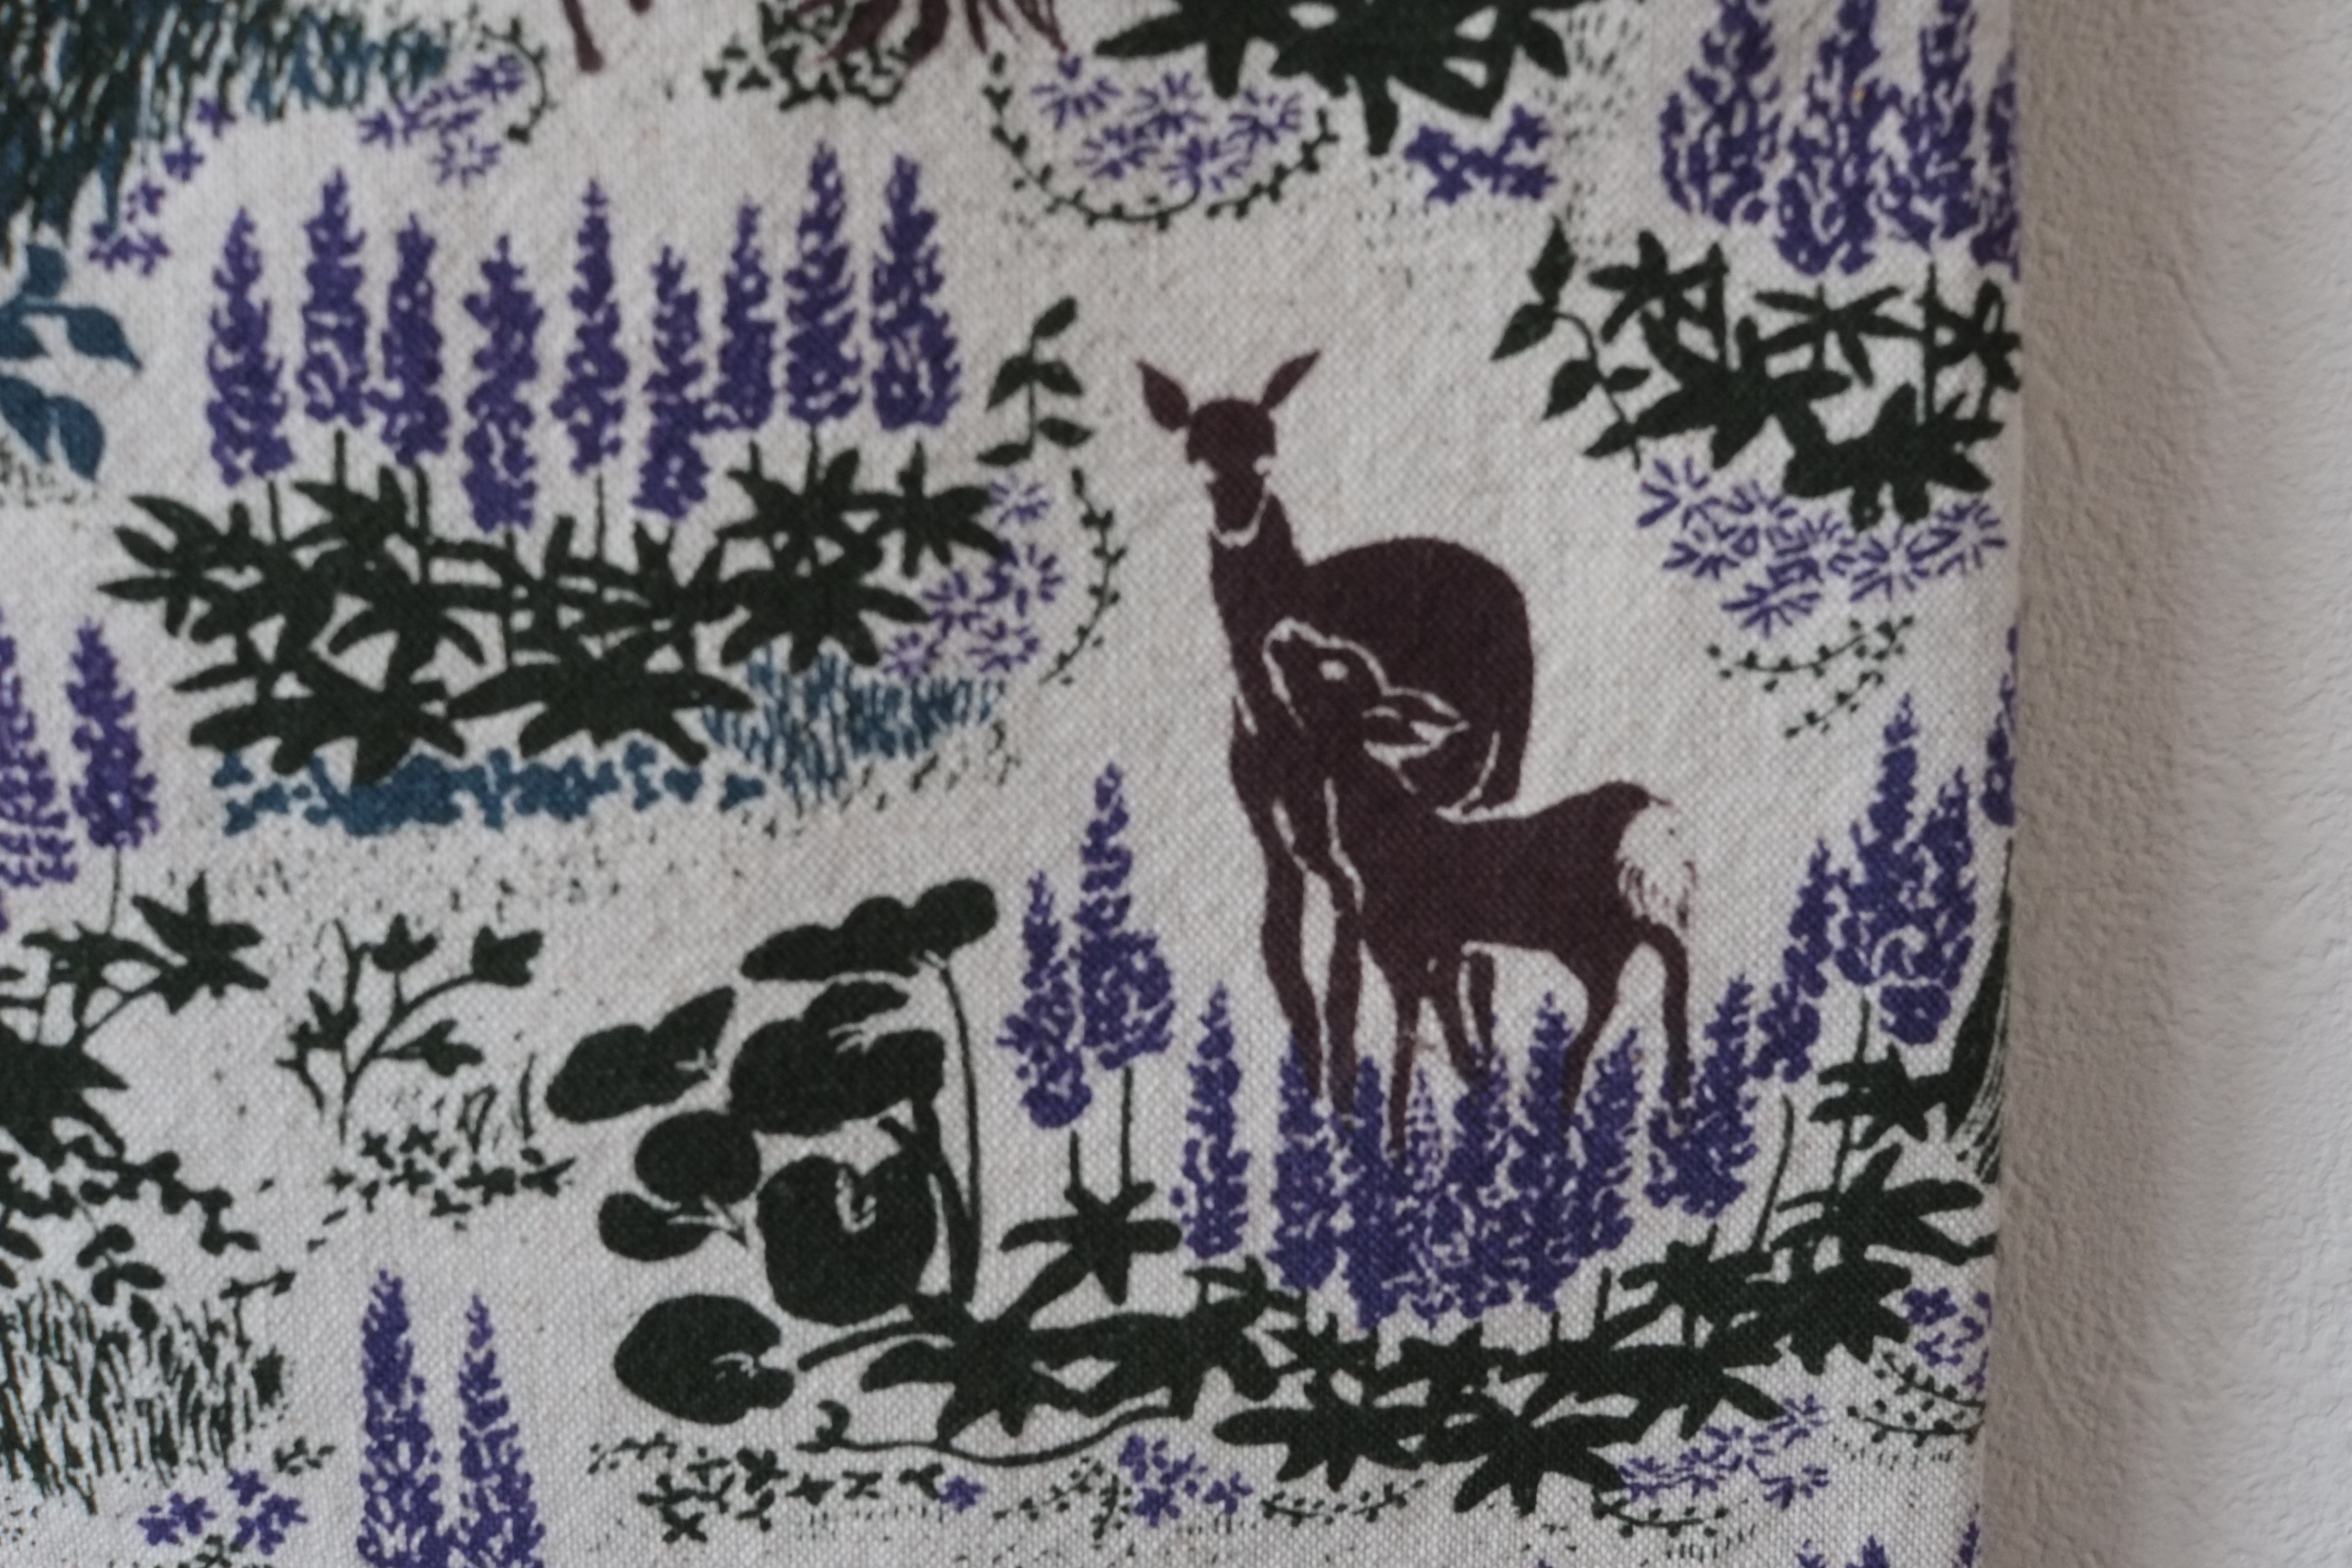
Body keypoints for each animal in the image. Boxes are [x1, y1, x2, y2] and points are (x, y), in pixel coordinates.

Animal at [1138, 354, 1537, 1115]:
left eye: (1267, 458)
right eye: (1198, 463)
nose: (1236, 524)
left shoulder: (1339, 843)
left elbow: (1345, 974)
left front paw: (1347, 1102)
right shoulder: (1274, 836)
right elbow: (1280, 949)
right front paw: (1312, 1088)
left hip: (1478, 782)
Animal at [1262, 618, 1695, 1147]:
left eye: (1333, 670)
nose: (1282, 633)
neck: (1380, 841)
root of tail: (1644, 813)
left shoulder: (1406, 954)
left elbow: (1407, 1049)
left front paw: (1398, 1145)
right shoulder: (1444, 955)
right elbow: (1454, 1034)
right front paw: (1476, 1097)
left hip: (1587, 936)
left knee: (1612, 994)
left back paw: (1570, 1094)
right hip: (1630, 918)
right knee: (1673, 956)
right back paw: (1675, 1089)